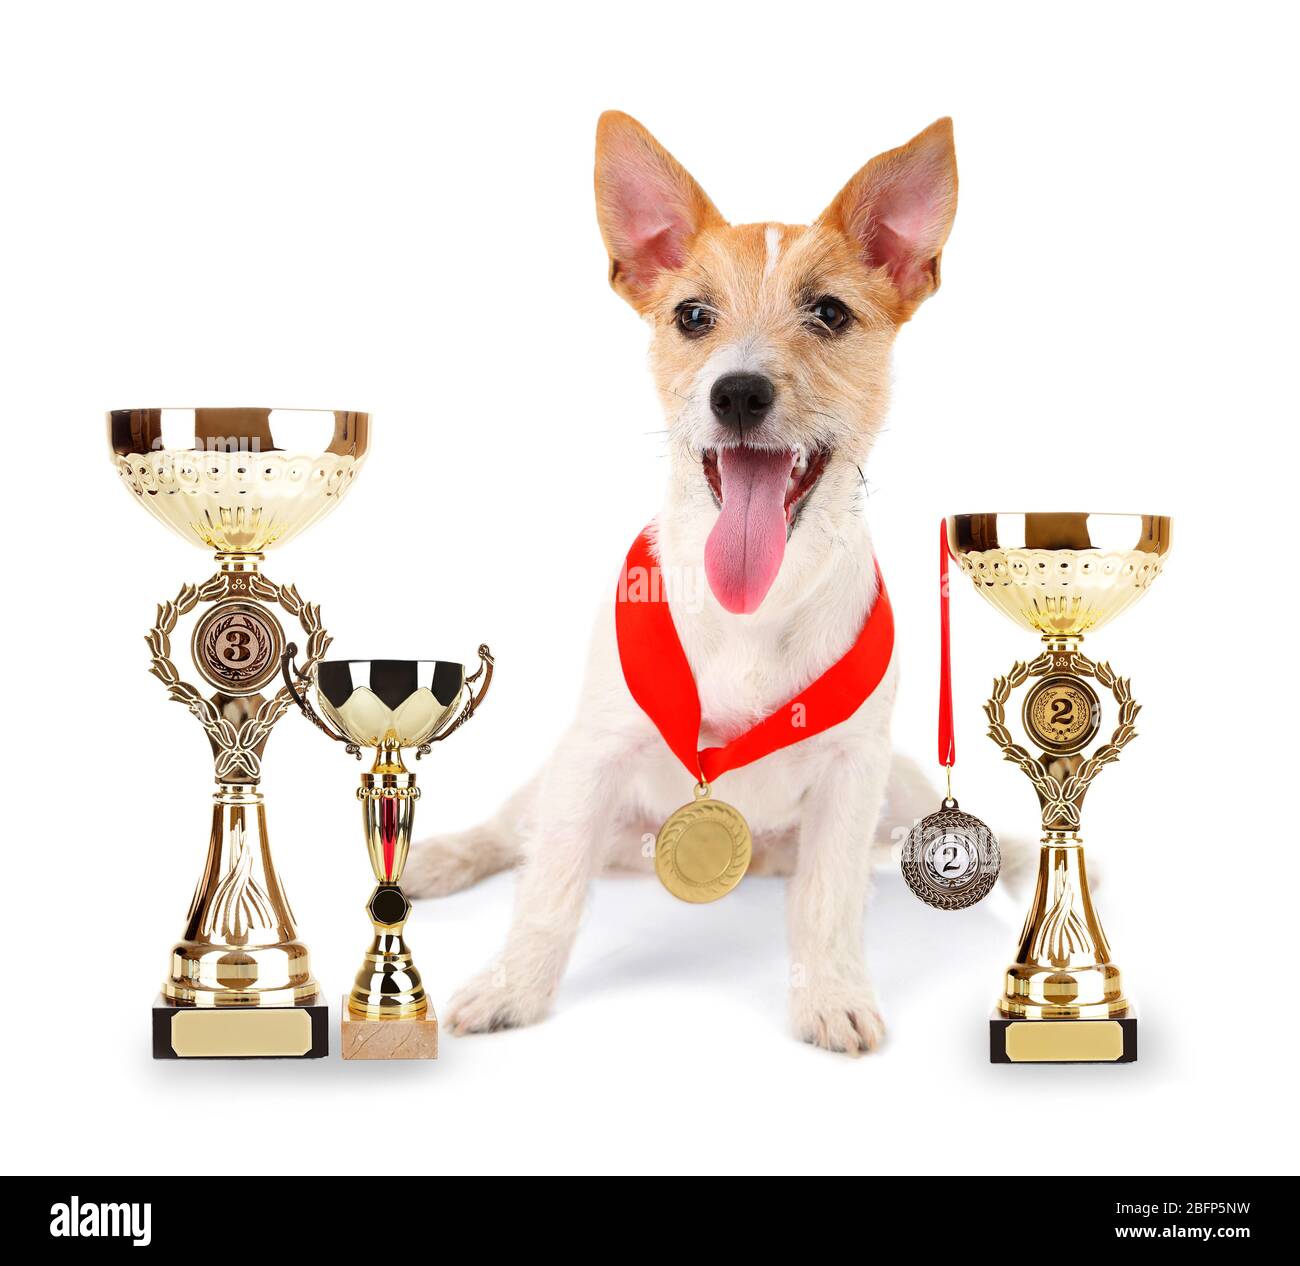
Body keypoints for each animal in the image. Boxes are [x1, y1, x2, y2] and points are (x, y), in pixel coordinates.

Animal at [405, 111, 967, 1060]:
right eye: (692, 316)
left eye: (829, 312)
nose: (738, 393)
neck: (756, 605)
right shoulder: (592, 755)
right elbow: (550, 892)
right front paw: (514, 987)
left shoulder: (854, 772)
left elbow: (827, 904)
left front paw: (830, 994)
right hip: (556, 783)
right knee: (513, 838)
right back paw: (435, 859)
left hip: (902, 786)